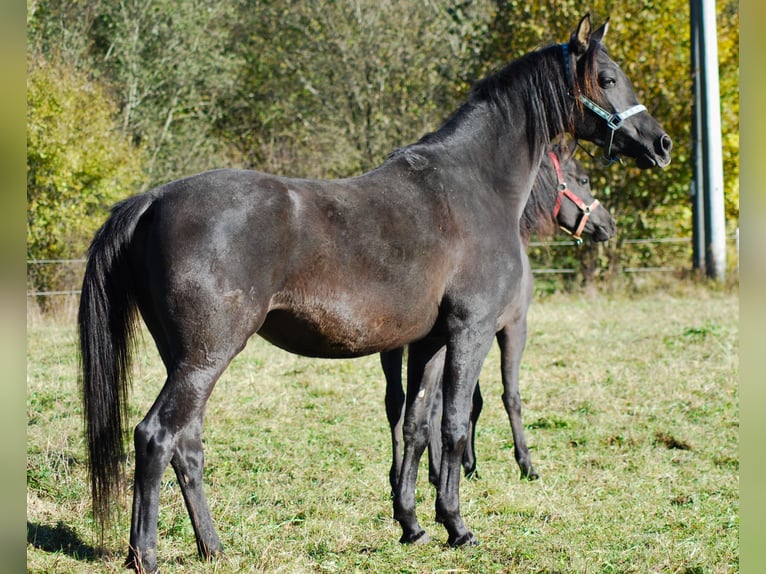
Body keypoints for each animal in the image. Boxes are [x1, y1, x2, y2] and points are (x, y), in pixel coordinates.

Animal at [384, 138, 616, 496]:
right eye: (584, 179)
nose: (608, 224)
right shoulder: (512, 328)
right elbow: (510, 396)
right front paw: (525, 464)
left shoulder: (473, 332)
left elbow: (471, 402)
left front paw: (467, 465)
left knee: (397, 403)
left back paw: (402, 477)